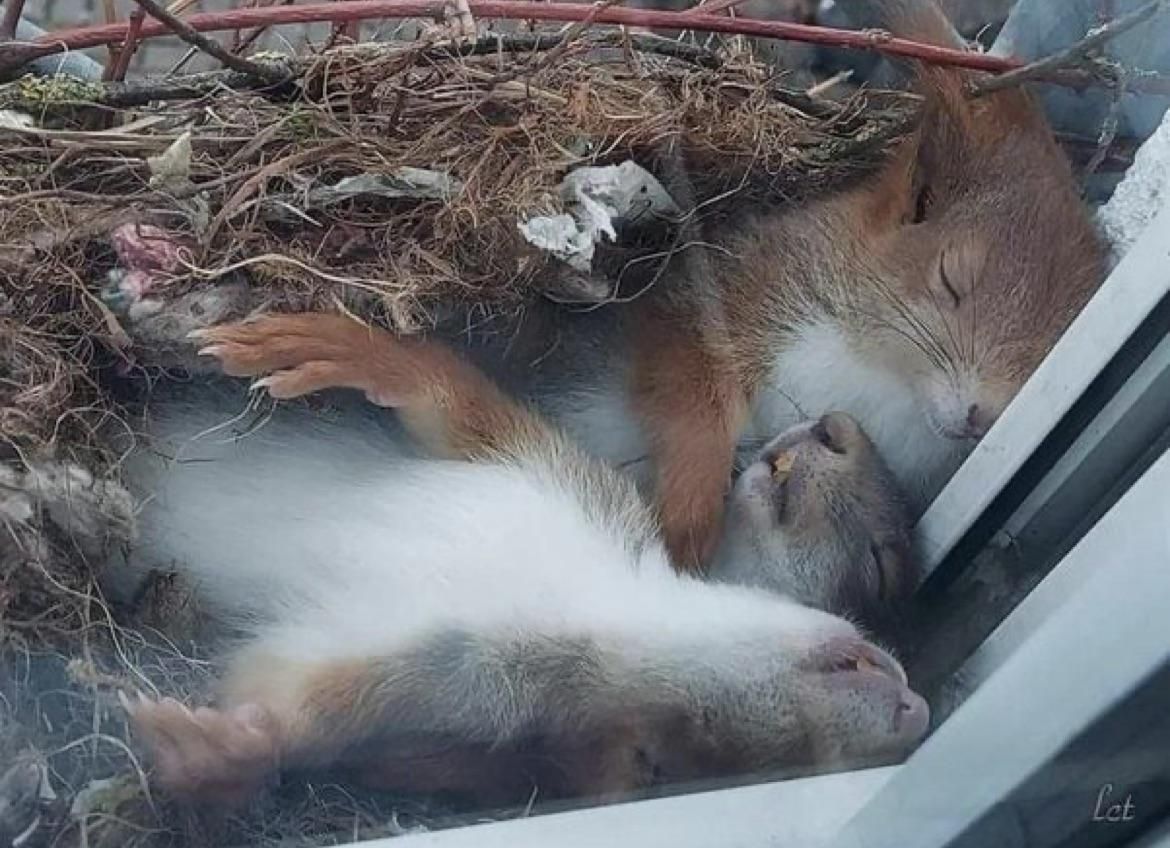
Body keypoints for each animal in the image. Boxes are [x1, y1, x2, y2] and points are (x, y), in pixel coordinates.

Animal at [116, 311, 921, 809]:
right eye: (877, 571)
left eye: (677, 759)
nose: (915, 711)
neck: (602, 601)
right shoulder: (558, 474)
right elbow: (452, 402)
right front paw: (343, 347)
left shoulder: (443, 682)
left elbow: (292, 702)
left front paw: (222, 751)